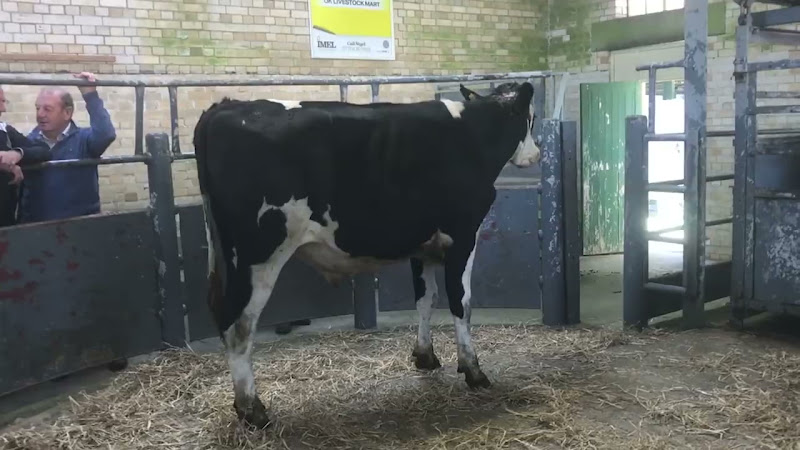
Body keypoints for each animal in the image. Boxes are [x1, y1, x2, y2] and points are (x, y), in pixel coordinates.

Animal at [192, 80, 540, 428]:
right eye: (531, 118)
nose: (536, 154)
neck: (473, 133)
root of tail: (225, 107)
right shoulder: (464, 233)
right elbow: (461, 302)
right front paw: (473, 370)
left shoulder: (423, 243)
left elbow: (425, 299)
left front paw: (425, 356)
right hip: (257, 257)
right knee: (238, 324)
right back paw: (251, 408)